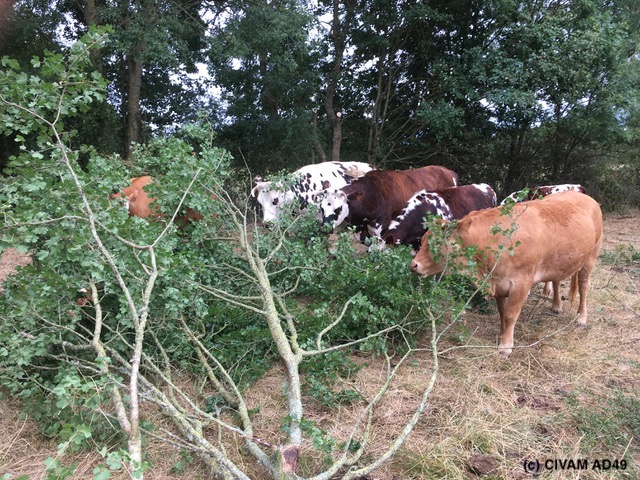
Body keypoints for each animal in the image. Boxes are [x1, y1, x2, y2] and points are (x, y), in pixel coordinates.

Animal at [412, 191, 604, 356]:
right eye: (422, 240)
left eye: (436, 244)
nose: (413, 264)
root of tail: (586, 197)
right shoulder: (499, 283)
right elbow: (502, 313)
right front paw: (501, 336)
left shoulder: (521, 283)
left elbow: (511, 315)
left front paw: (506, 346)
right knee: (556, 280)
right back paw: (556, 306)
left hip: (591, 257)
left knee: (584, 286)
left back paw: (581, 318)